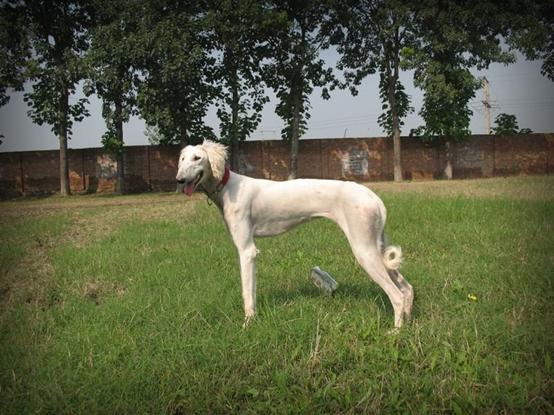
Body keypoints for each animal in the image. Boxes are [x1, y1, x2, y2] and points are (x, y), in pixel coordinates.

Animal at [175, 141, 412, 330]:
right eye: (183, 158)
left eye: (198, 158)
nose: (179, 180)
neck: (229, 187)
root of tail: (374, 198)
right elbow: (252, 290)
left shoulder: (247, 250)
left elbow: (247, 292)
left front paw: (248, 323)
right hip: (377, 247)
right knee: (407, 289)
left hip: (365, 250)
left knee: (397, 295)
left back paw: (395, 332)